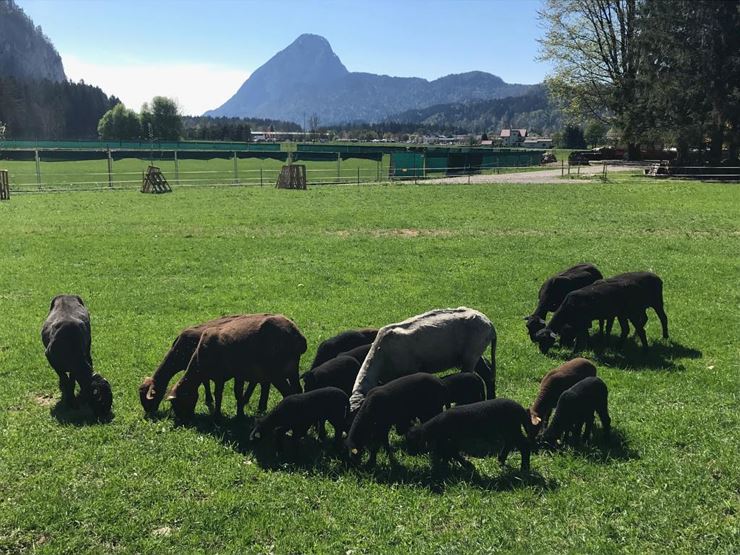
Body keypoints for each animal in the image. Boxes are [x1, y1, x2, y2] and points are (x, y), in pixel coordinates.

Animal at [167, 314, 306, 420]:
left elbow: (218, 394)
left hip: (276, 372)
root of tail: (297, 336)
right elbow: (237, 393)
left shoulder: (219, 375)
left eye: (176, 403)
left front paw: (217, 416)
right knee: (298, 391)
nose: (183, 420)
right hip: (292, 369)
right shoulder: (238, 375)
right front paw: (240, 415)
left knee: (288, 393)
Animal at [349, 307, 496, 412]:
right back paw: (491, 398)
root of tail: (489, 323)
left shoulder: (411, 370)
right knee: (488, 375)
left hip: (472, 354)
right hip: (475, 354)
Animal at [406, 398, 534, 472]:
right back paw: (501, 460)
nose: (409, 453)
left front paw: (468, 465)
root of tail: (520, 409)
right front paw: (445, 465)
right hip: (508, 430)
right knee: (510, 443)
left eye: (412, 442)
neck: (436, 428)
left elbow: (452, 452)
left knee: (524, 445)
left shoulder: (453, 439)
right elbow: (447, 452)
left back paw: (524, 468)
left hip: (512, 428)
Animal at [534, 272, 668, 354]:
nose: (542, 352)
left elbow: (581, 337)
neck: (567, 308)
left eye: (545, 340)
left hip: (645, 307)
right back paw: (618, 347)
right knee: (626, 329)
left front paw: (576, 351)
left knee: (652, 324)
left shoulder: (582, 322)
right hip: (623, 314)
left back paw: (650, 347)